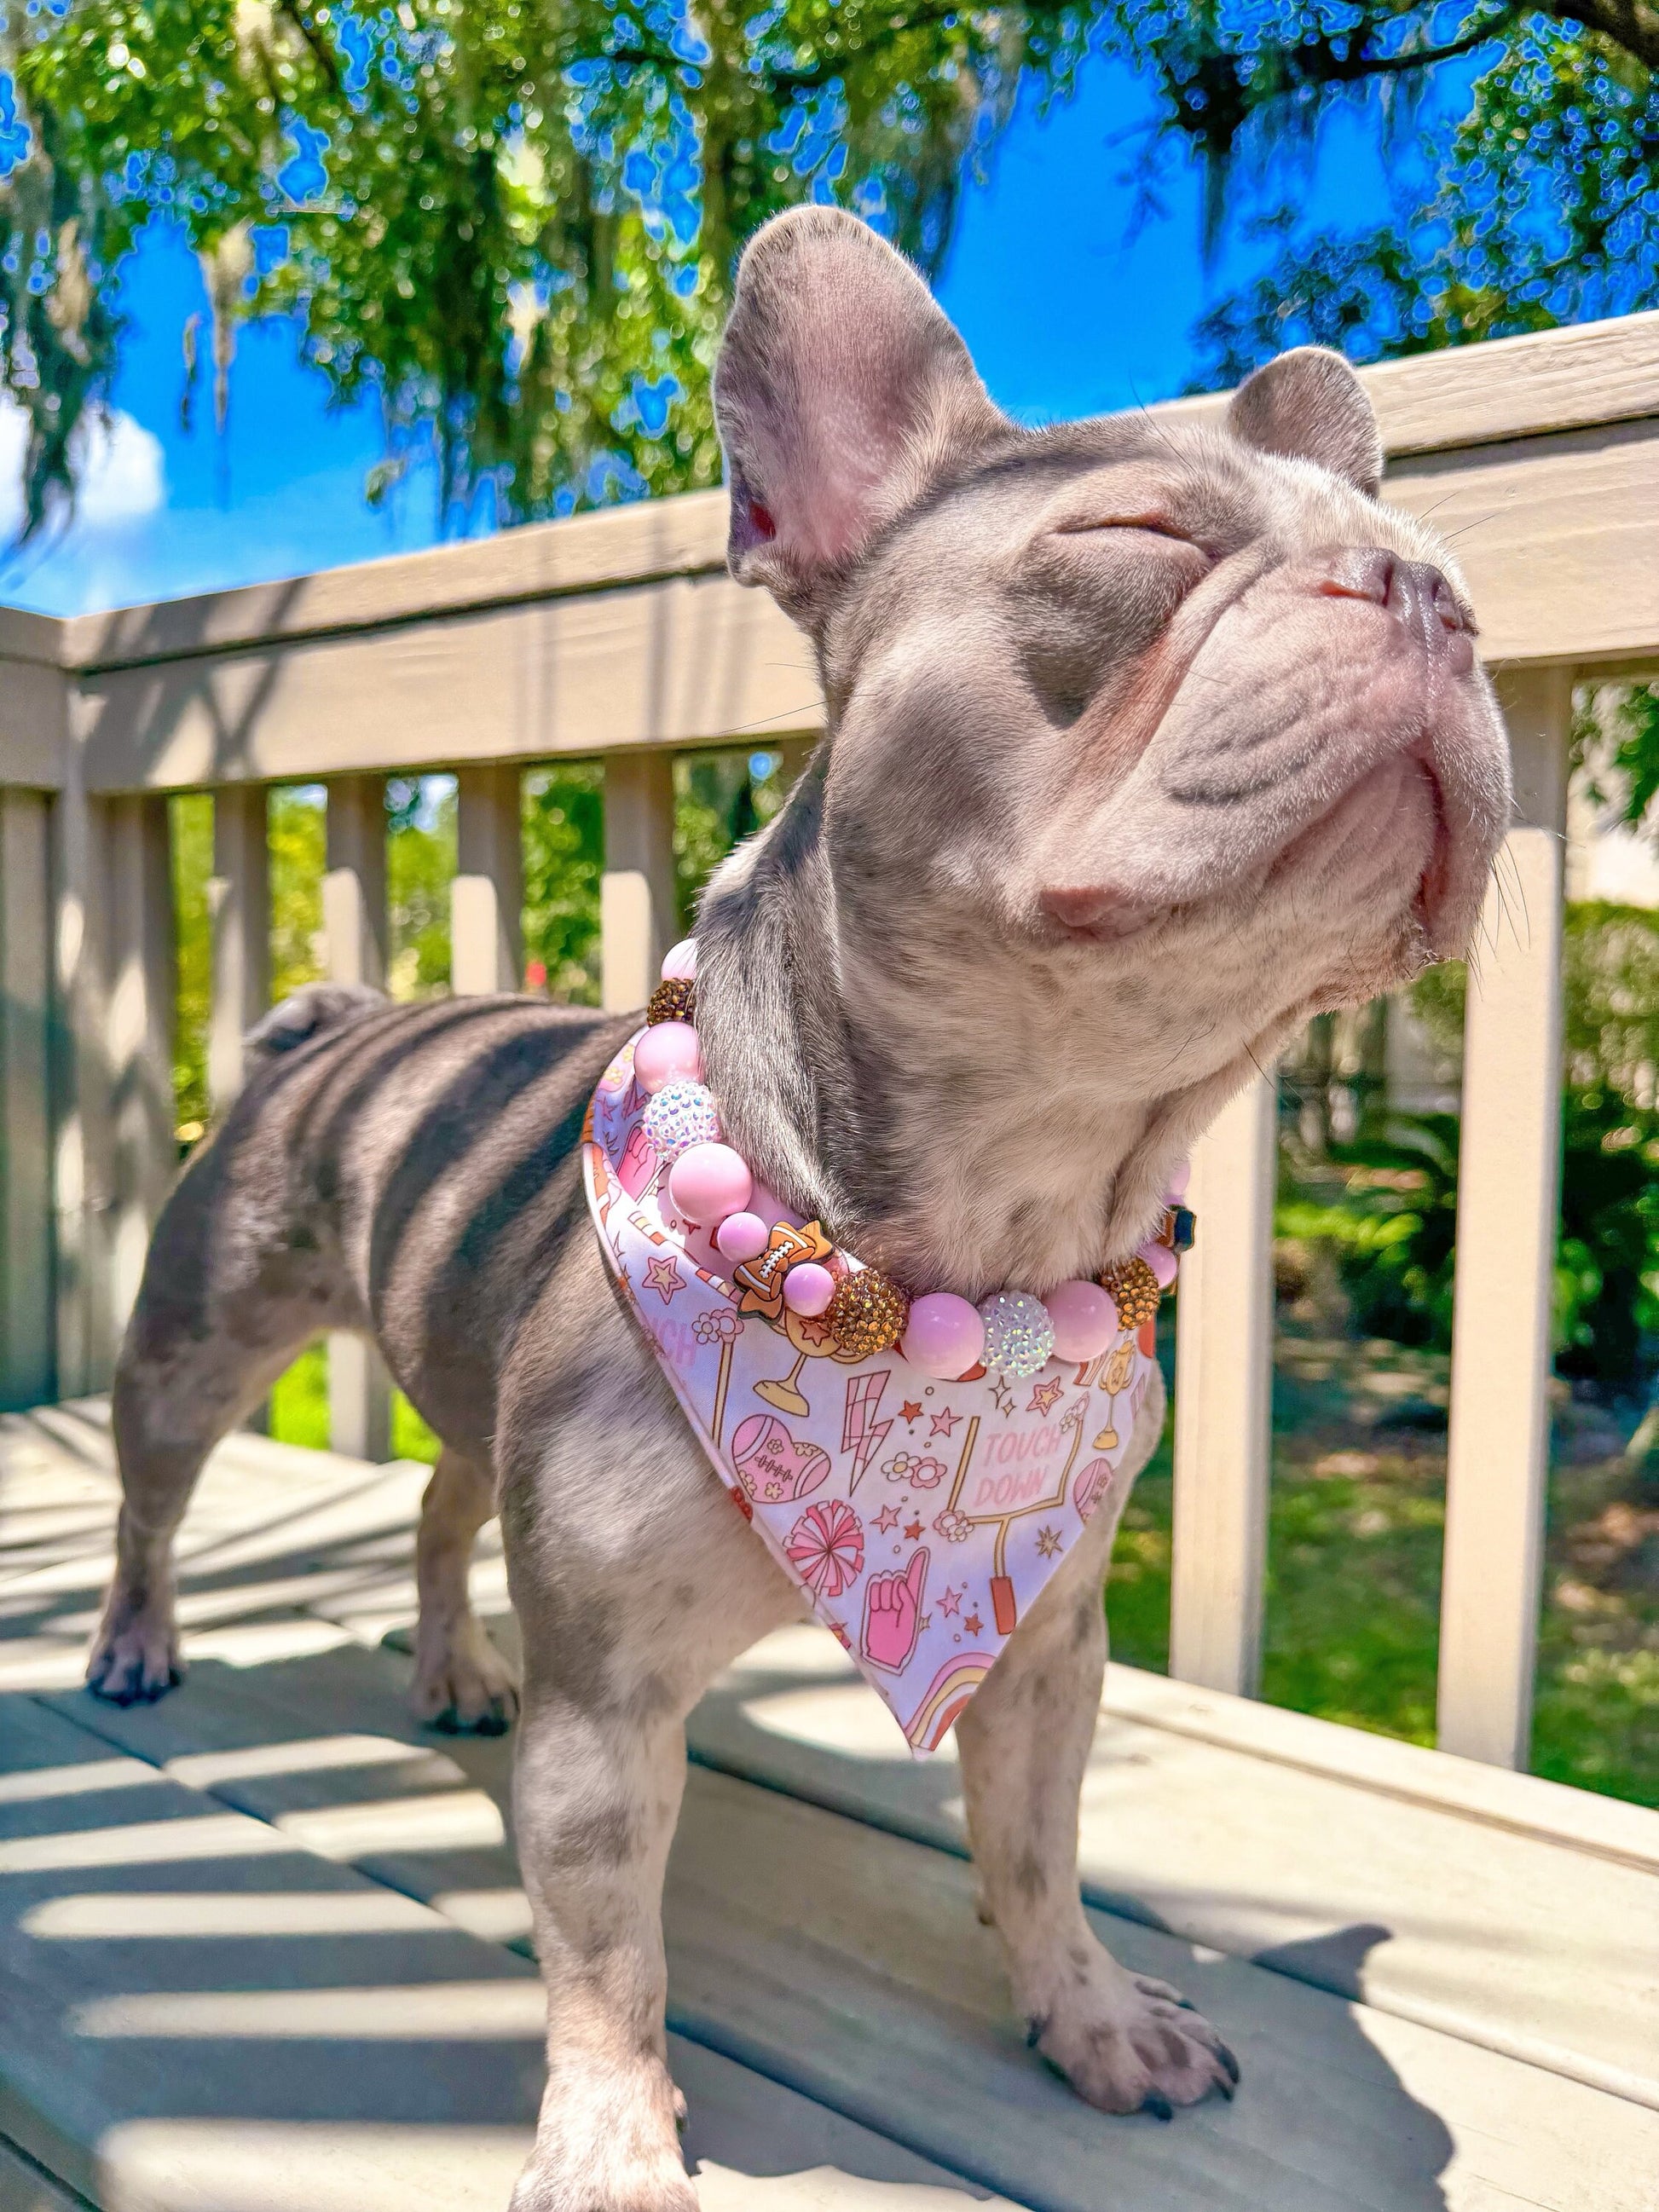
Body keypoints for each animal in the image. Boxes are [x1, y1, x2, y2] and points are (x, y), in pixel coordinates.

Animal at [90, 211, 1522, 2212]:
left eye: (1457, 579)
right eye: (1139, 539)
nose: (1427, 593)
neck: (973, 1257)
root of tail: (344, 1021)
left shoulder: (1045, 1651)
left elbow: (1033, 1853)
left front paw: (1090, 2019)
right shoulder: (606, 1718)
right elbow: (610, 1952)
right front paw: (611, 2137)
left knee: (446, 1508)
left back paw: (452, 1664)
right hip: (200, 1343)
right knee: (155, 1499)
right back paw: (138, 1641)